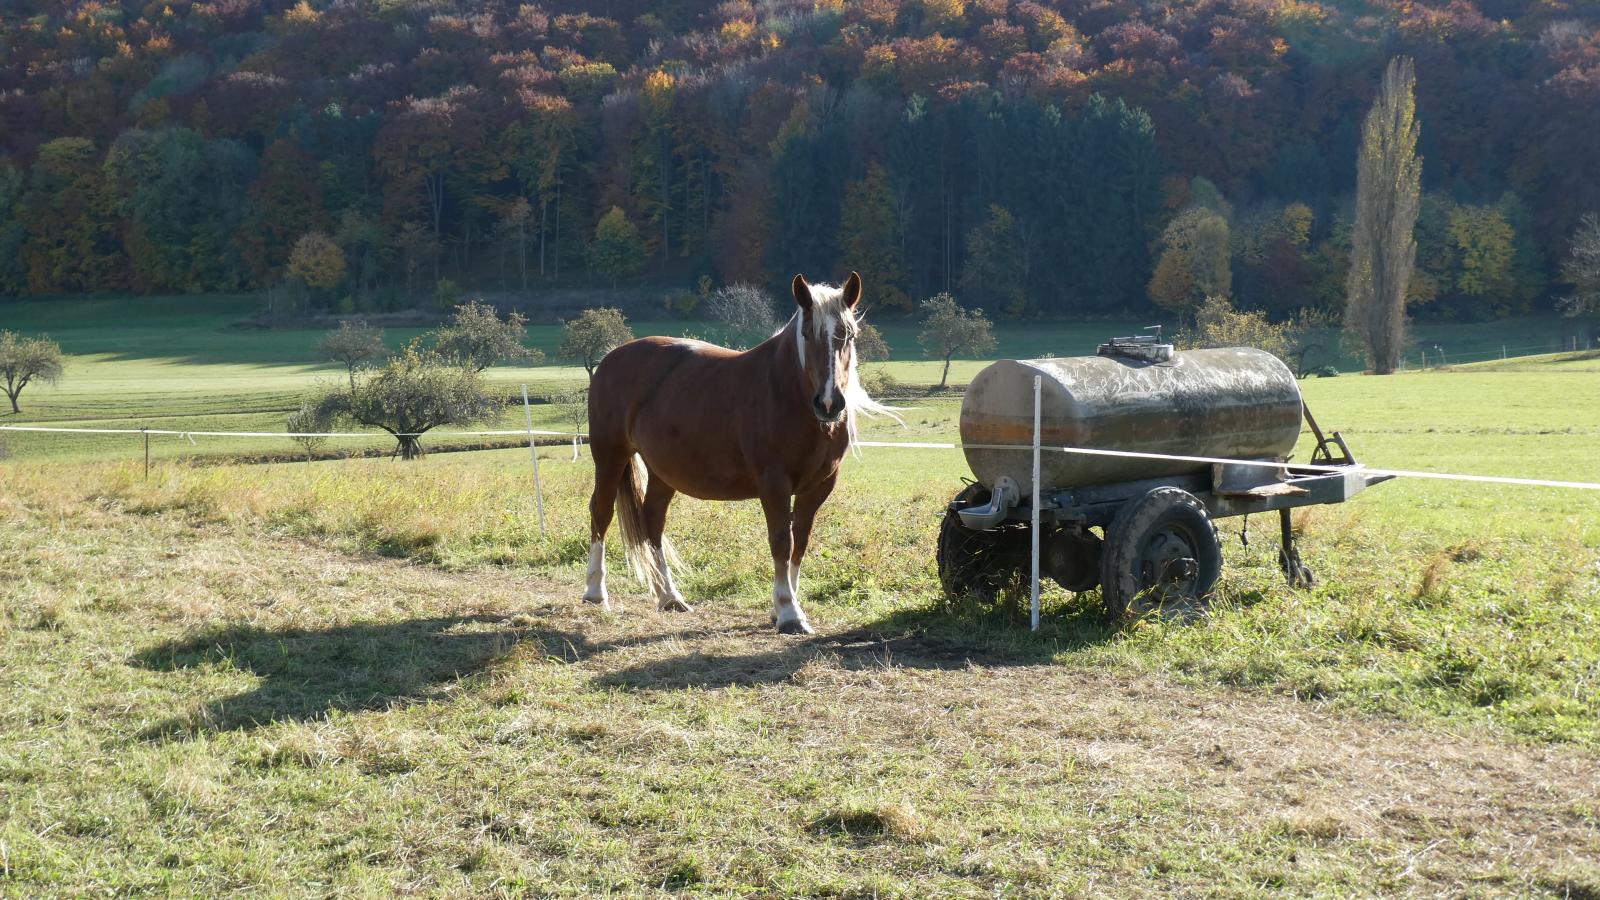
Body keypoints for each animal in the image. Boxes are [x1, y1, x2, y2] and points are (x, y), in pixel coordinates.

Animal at [582, 271, 897, 634]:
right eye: (807, 333)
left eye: (849, 335)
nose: (829, 403)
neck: (788, 395)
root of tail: (610, 358)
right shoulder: (774, 483)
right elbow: (782, 541)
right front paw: (789, 612)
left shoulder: (819, 487)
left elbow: (800, 542)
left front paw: (785, 607)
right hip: (610, 456)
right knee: (601, 513)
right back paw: (595, 592)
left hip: (663, 472)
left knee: (652, 521)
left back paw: (669, 596)